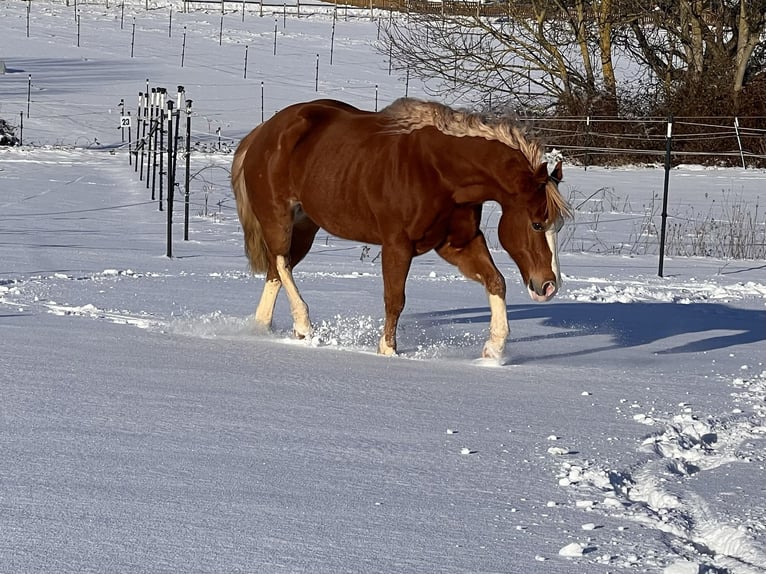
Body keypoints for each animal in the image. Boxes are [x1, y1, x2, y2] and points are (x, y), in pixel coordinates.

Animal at [231, 99, 572, 360]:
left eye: (559, 224)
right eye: (537, 223)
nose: (548, 286)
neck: (441, 171)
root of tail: (263, 132)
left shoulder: (458, 243)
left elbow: (496, 282)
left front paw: (494, 350)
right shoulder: (398, 244)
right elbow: (395, 298)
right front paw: (387, 350)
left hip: (306, 226)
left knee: (276, 272)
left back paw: (264, 328)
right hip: (278, 218)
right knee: (281, 262)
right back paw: (304, 325)